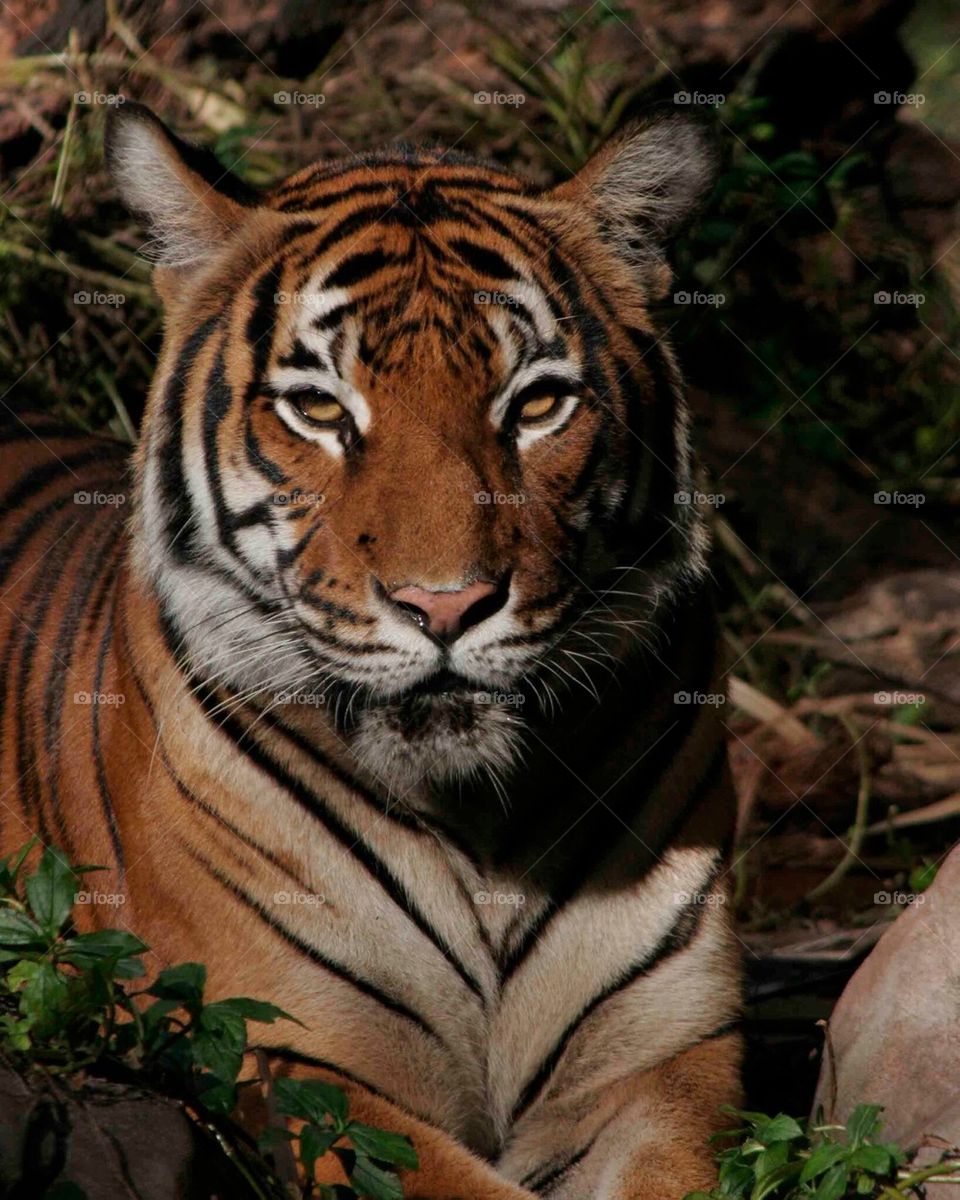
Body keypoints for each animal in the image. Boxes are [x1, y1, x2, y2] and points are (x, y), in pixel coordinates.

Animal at [0, 101, 742, 1198]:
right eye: (317, 407)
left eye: (536, 405)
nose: (447, 605)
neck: (481, 833)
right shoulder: (280, 1051)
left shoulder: (668, 1052)